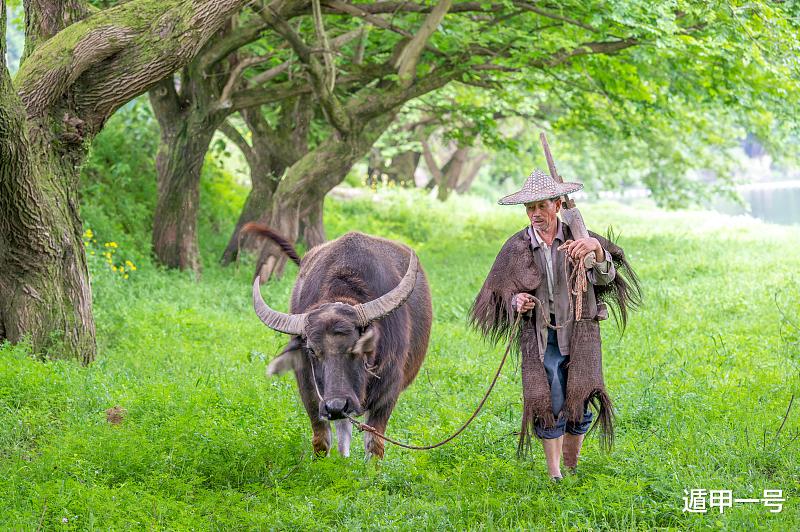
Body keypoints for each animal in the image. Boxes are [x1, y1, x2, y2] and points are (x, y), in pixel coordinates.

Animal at [250, 224, 434, 458]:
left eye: (357, 346)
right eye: (312, 350)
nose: (336, 406)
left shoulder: (388, 391)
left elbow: (375, 443)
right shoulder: (310, 391)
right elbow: (321, 439)